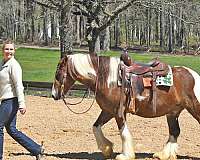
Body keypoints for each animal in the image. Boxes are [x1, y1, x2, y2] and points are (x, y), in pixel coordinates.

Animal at [51, 53, 200, 160]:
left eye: (58, 73)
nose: (53, 95)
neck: (106, 78)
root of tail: (194, 76)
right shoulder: (107, 111)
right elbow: (95, 127)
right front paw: (107, 149)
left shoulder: (118, 112)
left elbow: (123, 132)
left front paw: (125, 155)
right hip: (172, 113)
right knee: (174, 132)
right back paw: (163, 154)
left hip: (194, 108)